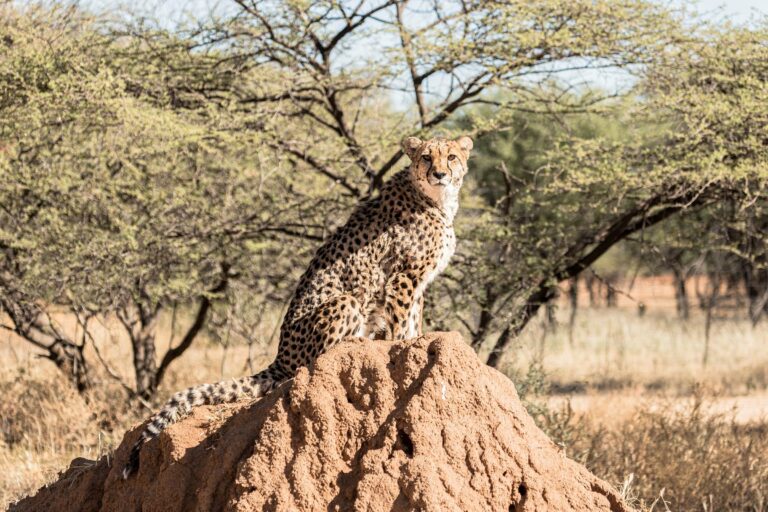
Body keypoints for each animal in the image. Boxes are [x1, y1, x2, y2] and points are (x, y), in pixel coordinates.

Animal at [122, 134, 474, 478]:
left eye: (451, 157)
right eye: (426, 157)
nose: (440, 173)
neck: (436, 198)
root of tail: (280, 357)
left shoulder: (417, 281)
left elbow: (414, 319)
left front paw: (417, 341)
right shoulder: (403, 276)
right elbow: (402, 321)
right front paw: (400, 347)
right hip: (345, 303)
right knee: (313, 361)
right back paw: (355, 344)